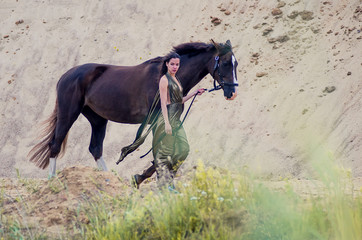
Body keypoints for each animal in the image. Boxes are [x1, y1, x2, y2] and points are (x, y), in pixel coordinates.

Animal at [27, 40, 238, 177]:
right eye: (225, 63)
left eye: (236, 63)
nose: (233, 92)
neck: (164, 76)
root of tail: (65, 76)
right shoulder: (157, 121)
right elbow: (160, 151)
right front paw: (142, 177)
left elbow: (178, 152)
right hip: (68, 113)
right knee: (55, 145)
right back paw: (52, 180)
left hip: (98, 119)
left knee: (95, 148)